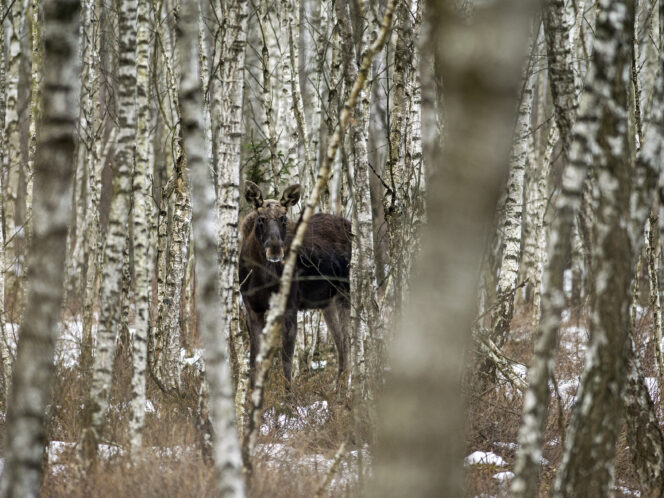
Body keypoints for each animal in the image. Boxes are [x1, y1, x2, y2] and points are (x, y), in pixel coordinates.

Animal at [239, 181, 352, 388]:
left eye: (283, 218)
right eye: (261, 219)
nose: (275, 249)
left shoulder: (290, 307)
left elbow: (287, 363)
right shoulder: (252, 308)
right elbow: (254, 363)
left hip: (345, 292)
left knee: (349, 343)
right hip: (328, 302)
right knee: (341, 345)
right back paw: (337, 388)